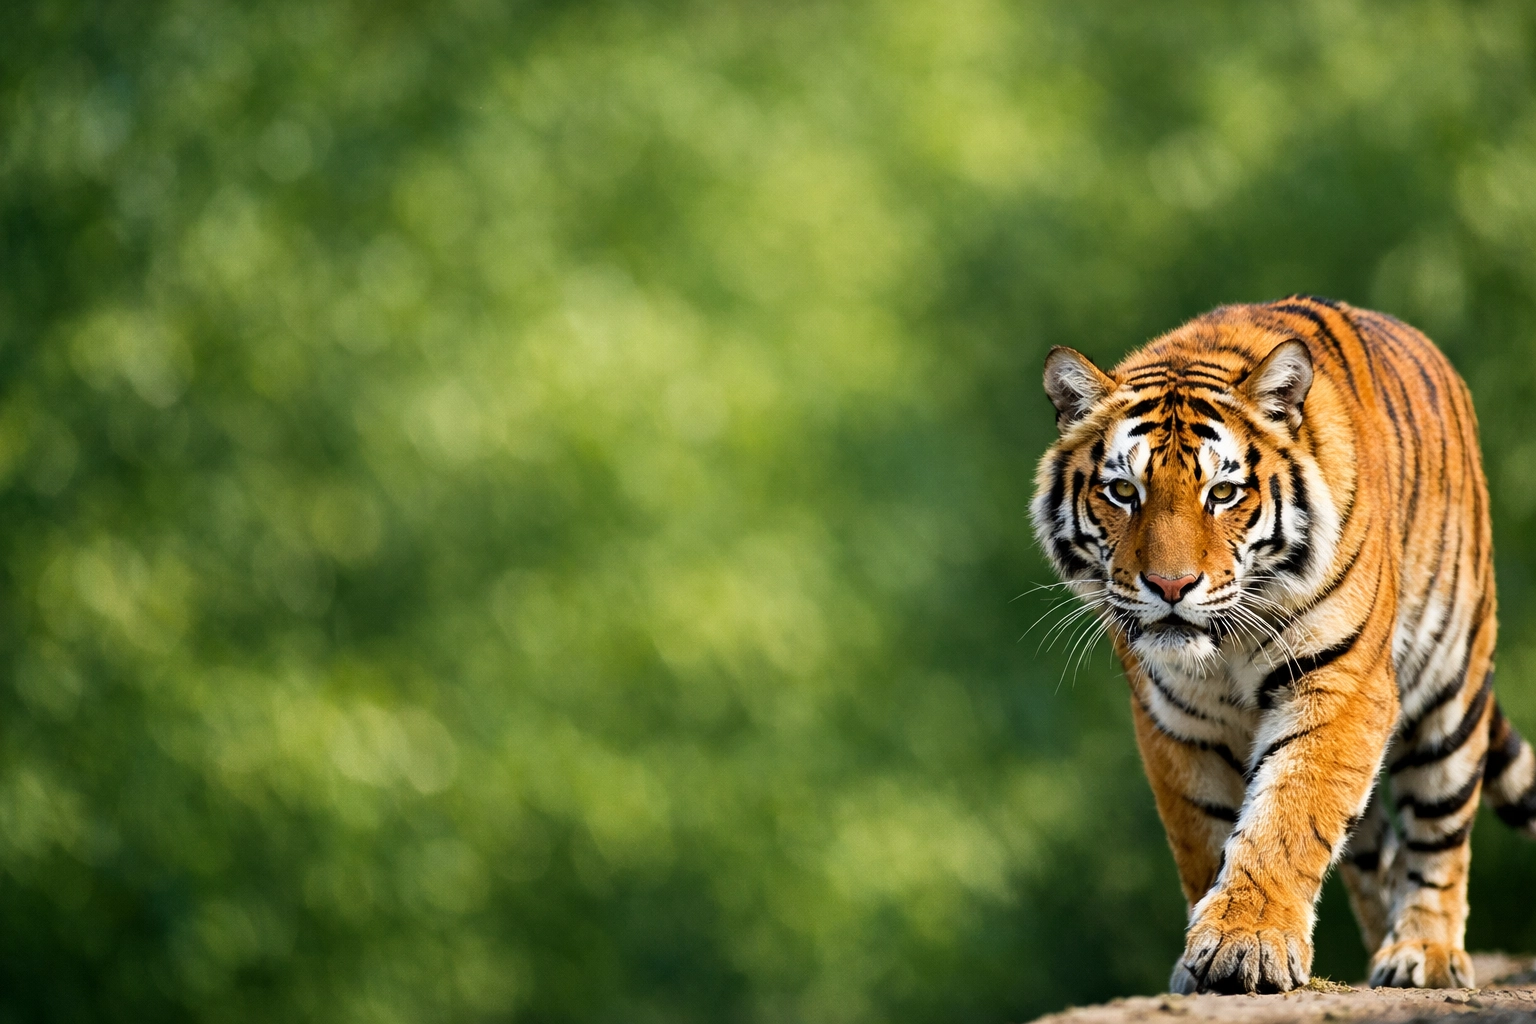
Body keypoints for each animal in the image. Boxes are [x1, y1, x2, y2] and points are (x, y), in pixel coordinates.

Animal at [1030, 295, 1536, 995]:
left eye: (1222, 493)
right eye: (1123, 492)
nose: (1170, 585)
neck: (1222, 651)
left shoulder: (1340, 684)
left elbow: (1289, 815)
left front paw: (1247, 941)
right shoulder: (1175, 722)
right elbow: (1209, 835)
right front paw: (1210, 952)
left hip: (1452, 690)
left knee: (1438, 834)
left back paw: (1423, 953)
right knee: (1371, 852)